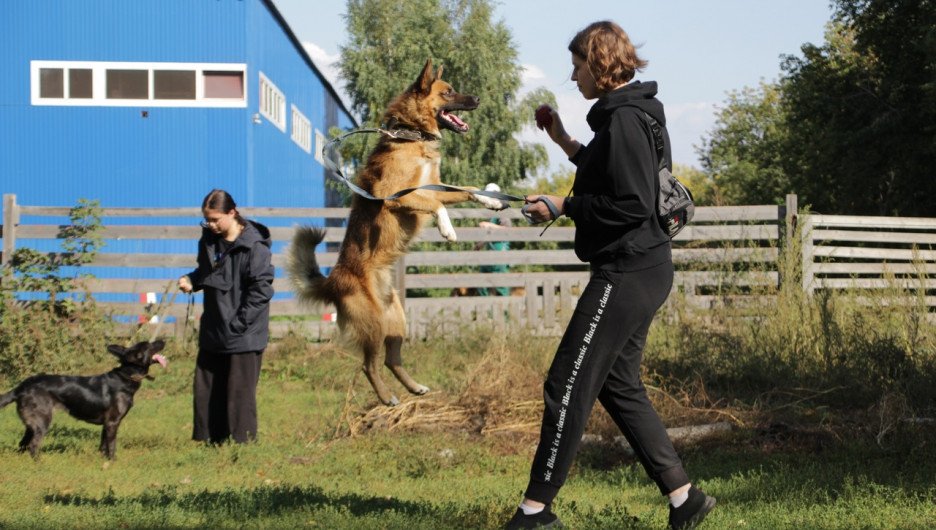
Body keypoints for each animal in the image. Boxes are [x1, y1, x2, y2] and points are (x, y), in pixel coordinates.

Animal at [0, 338, 166, 458]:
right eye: (149, 345)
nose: (163, 339)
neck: (126, 376)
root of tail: (22, 386)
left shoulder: (106, 424)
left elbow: (103, 446)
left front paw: (102, 461)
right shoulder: (113, 422)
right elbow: (112, 447)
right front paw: (112, 463)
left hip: (32, 424)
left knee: (23, 444)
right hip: (42, 421)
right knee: (33, 445)